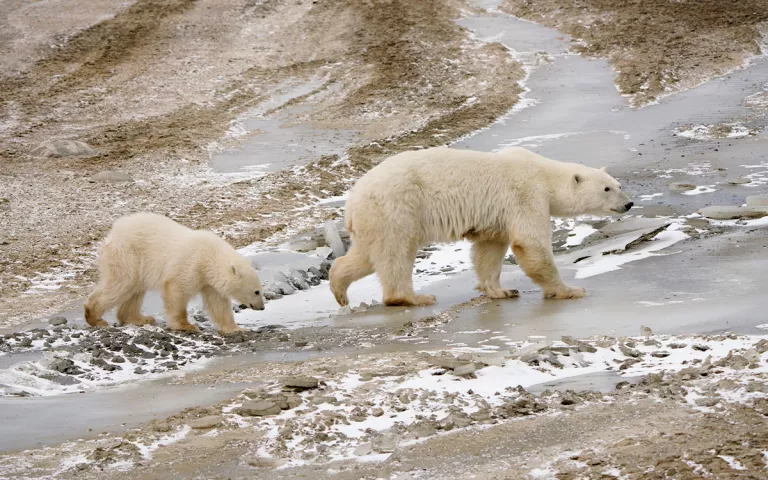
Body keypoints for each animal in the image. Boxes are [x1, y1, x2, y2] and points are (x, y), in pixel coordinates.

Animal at [332, 146, 632, 310]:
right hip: (396, 207)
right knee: (396, 252)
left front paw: (501, 290)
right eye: (607, 188)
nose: (628, 204)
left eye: (618, 185)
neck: (544, 174)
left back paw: (339, 289)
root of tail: (353, 198)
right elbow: (530, 242)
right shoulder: (525, 194)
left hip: (373, 218)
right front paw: (569, 290)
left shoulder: (496, 217)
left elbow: (489, 249)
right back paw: (414, 297)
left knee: (366, 255)